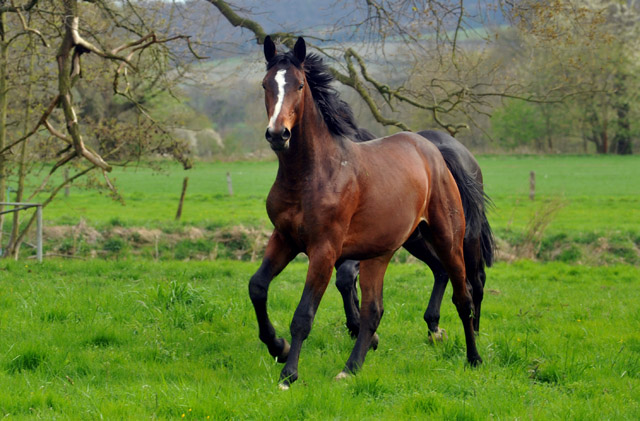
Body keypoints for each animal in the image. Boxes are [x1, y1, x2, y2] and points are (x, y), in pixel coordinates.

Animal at [249, 36, 480, 388]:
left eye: (299, 85)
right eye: (266, 84)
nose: (278, 134)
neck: (312, 174)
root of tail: (432, 150)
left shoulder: (324, 251)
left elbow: (304, 314)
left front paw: (288, 374)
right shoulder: (284, 239)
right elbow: (258, 287)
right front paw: (278, 346)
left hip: (447, 238)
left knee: (463, 295)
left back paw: (473, 358)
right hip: (383, 252)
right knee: (375, 310)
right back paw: (351, 367)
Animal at [336, 130, 496, 342]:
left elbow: (345, 278)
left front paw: (357, 328)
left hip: (465, 237)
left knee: (476, 281)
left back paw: (474, 333)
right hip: (421, 241)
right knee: (442, 270)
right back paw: (434, 326)